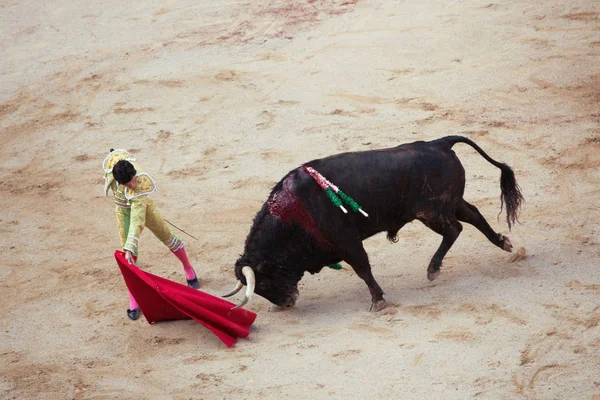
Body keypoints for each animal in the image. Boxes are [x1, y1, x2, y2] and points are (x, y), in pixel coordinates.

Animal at [223, 136, 524, 310]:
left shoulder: (347, 241)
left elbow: (363, 269)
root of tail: (438, 143)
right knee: (473, 215)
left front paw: (378, 301)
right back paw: (504, 243)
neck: (292, 214)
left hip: (431, 212)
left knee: (455, 229)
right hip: (450, 202)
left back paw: (433, 269)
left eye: (262, 285)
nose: (286, 304)